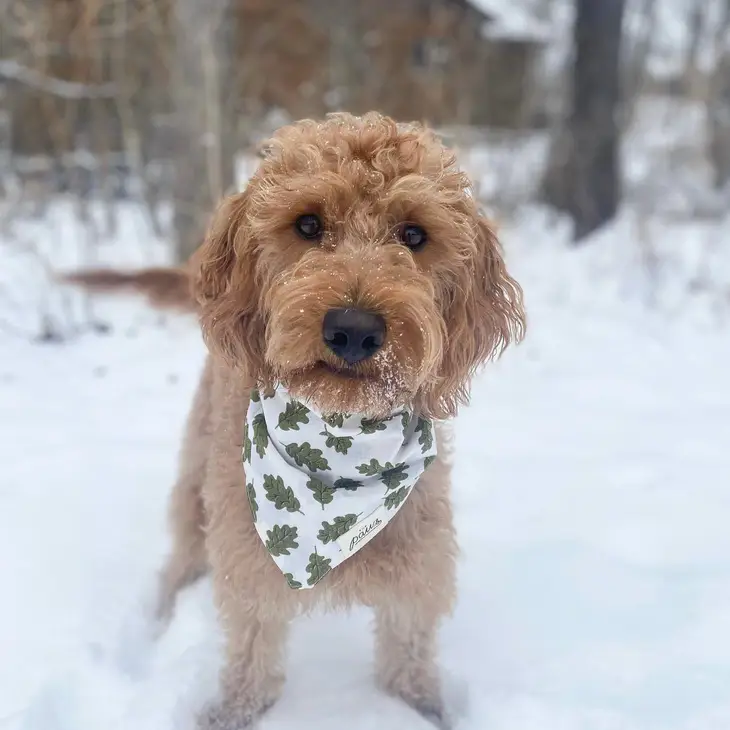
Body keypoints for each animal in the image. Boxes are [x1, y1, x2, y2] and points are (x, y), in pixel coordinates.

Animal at [68, 111, 524, 724]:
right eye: (307, 224)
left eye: (413, 235)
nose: (353, 329)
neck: (339, 445)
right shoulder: (249, 560)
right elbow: (252, 652)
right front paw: (232, 713)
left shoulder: (418, 560)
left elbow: (408, 653)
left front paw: (423, 710)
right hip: (197, 472)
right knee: (182, 553)